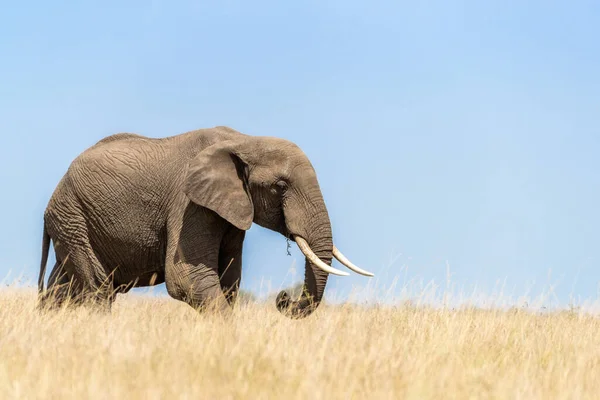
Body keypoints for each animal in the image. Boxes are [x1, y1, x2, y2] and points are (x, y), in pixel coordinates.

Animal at [36, 126, 370, 318]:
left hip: (72, 223)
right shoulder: (188, 205)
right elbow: (187, 279)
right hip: (73, 217)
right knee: (97, 288)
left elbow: (228, 279)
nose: (284, 298)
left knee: (63, 286)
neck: (244, 141)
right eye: (280, 187)